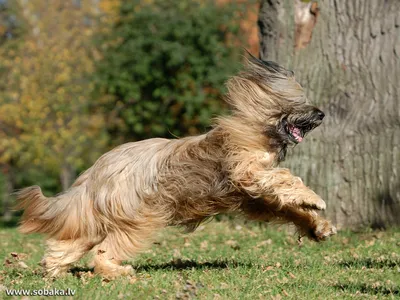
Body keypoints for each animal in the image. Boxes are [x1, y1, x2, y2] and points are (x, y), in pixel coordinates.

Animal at [15, 55, 334, 278]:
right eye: (298, 101)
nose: (321, 114)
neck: (256, 129)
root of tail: (96, 172)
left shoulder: (253, 198)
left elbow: (287, 208)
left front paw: (318, 226)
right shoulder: (247, 171)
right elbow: (285, 178)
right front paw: (314, 199)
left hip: (101, 216)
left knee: (75, 241)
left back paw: (54, 267)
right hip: (141, 216)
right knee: (105, 251)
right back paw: (117, 272)